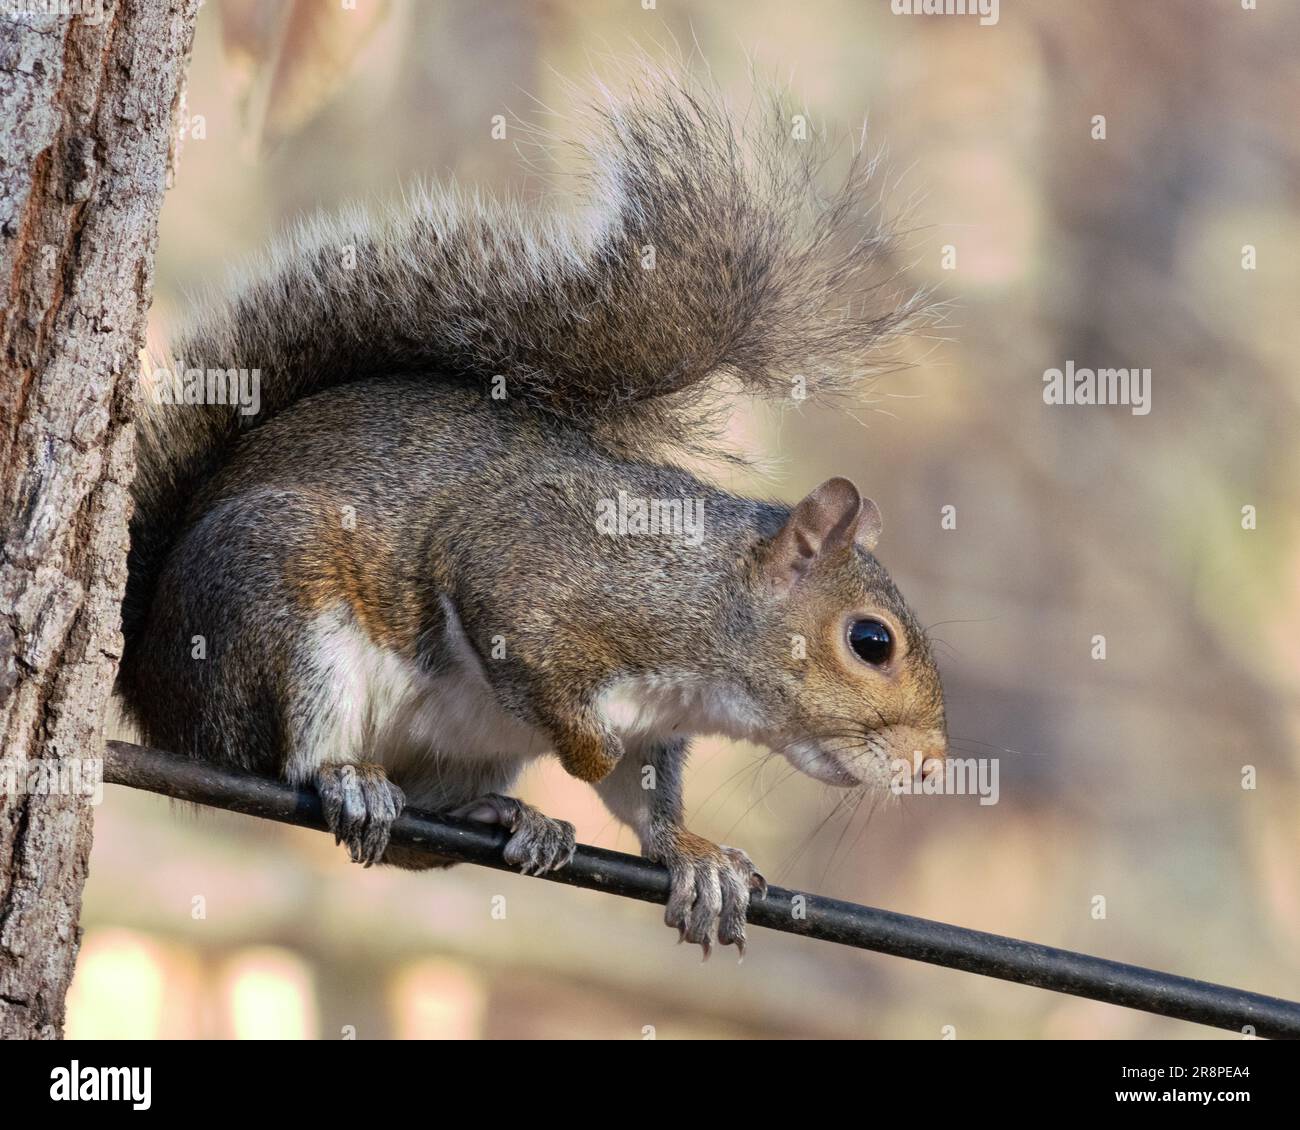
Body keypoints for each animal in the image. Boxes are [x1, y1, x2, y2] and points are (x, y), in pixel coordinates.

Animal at [118, 71, 948, 956]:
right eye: (871, 642)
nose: (933, 764)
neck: (710, 600)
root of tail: (151, 680)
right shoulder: (533, 572)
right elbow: (536, 659)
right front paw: (587, 752)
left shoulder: (657, 726)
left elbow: (646, 798)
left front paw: (694, 855)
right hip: (278, 603)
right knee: (277, 754)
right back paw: (346, 777)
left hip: (457, 748)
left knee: (414, 843)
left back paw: (503, 816)